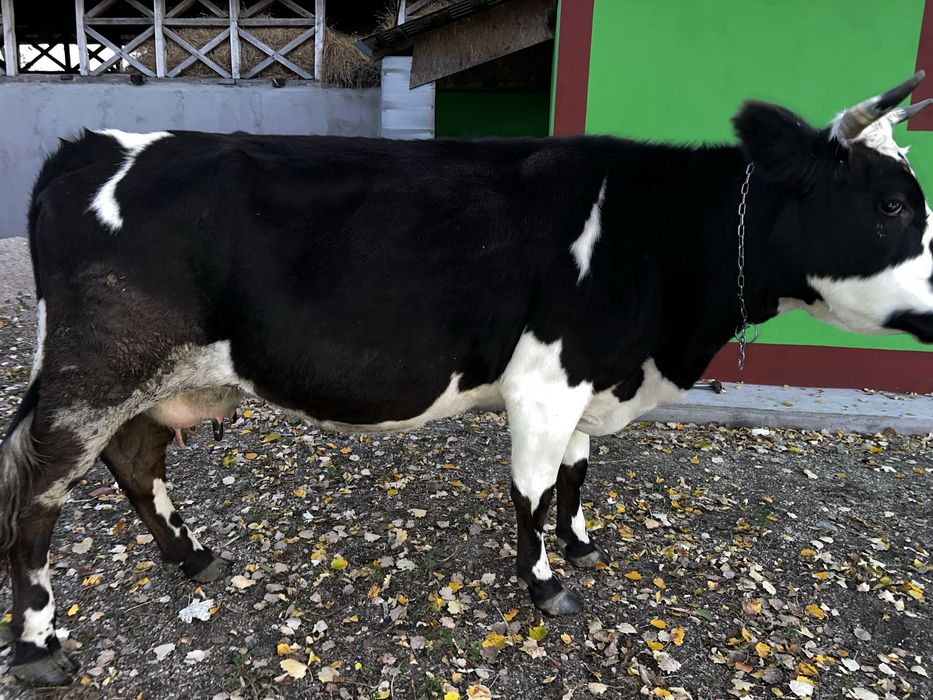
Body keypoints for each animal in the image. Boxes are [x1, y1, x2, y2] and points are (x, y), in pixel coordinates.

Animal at [2, 72, 933, 685]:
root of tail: (86, 148)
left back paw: (191, 556)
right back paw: (41, 648)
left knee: (136, 462)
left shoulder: (590, 383)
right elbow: (532, 485)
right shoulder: (546, 381)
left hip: (147, 379)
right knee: (37, 502)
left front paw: (579, 542)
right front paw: (545, 584)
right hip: (90, 377)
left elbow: (576, 472)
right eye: (891, 205)